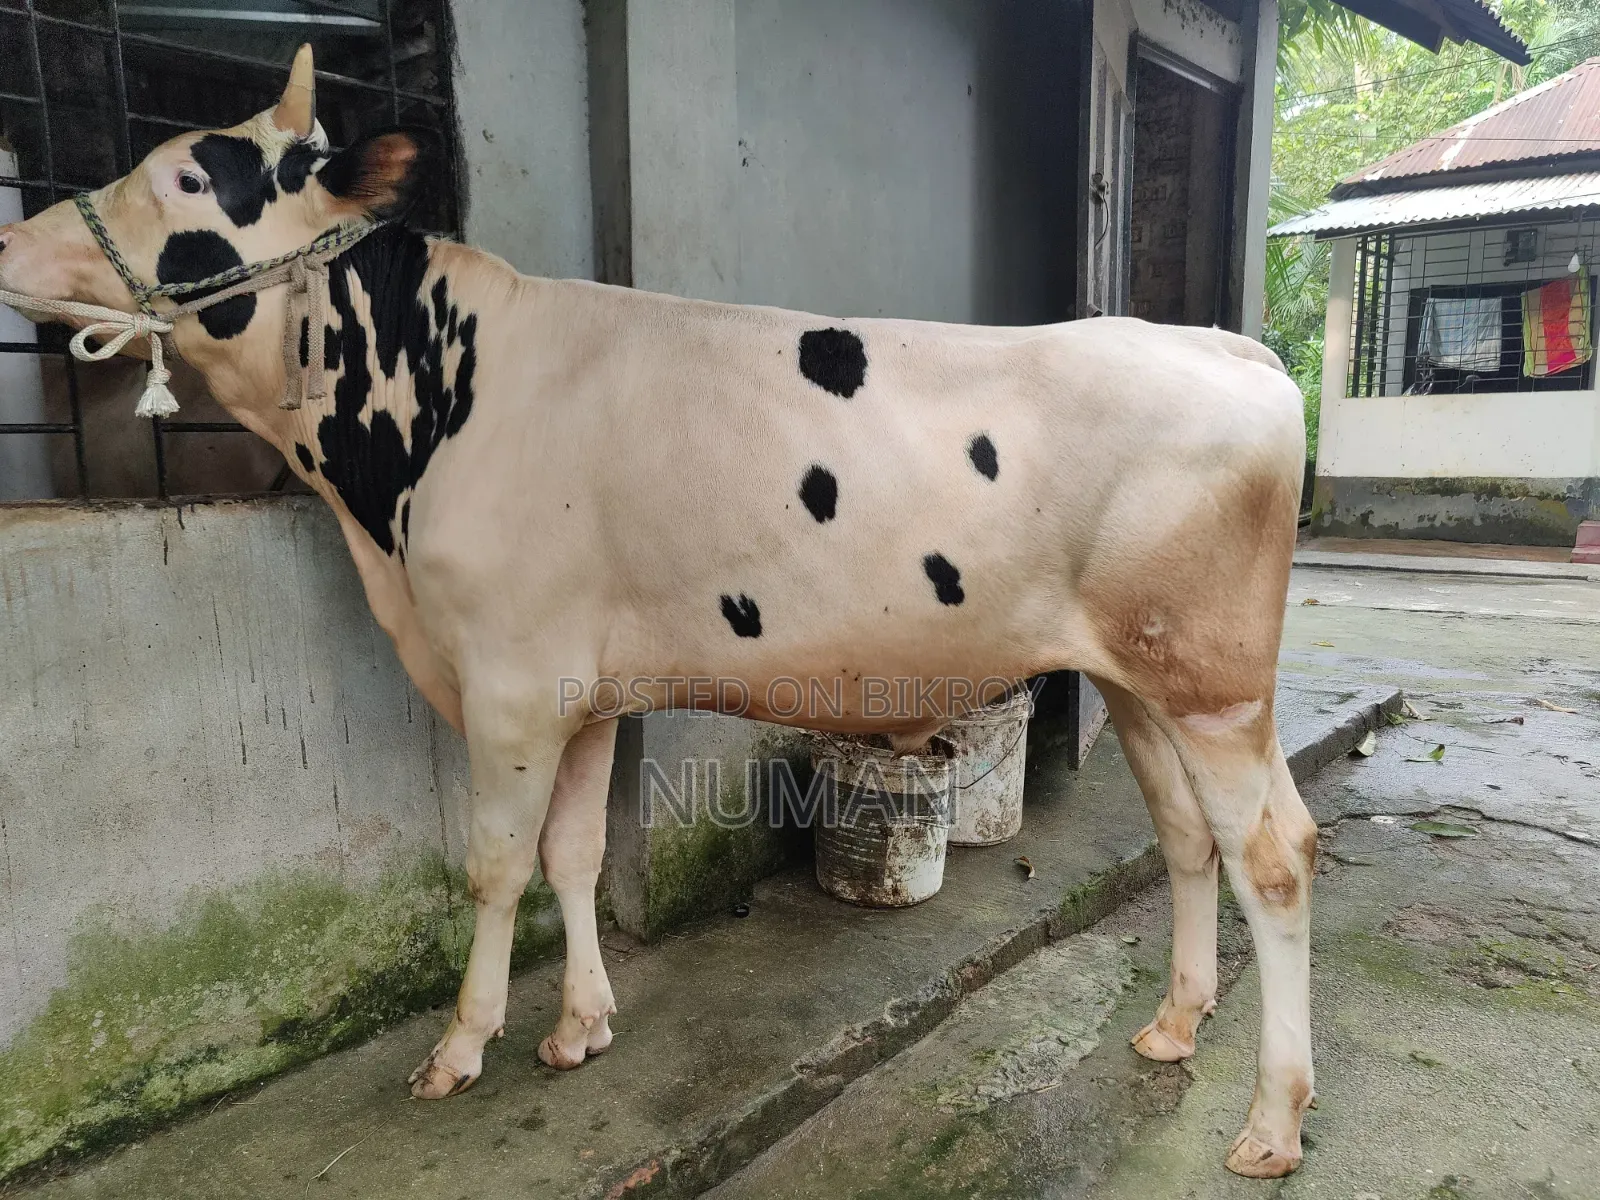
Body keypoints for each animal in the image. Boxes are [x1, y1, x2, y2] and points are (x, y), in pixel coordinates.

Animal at [0, 47, 1316, 1178]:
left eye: (186, 173)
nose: (11, 234)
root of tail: (1228, 348)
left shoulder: (509, 679)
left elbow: (494, 865)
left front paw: (460, 1046)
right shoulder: (582, 688)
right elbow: (574, 852)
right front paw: (580, 1025)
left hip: (1217, 686)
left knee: (1275, 856)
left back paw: (1271, 1123)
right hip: (1137, 677)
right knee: (1187, 839)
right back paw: (1172, 1029)